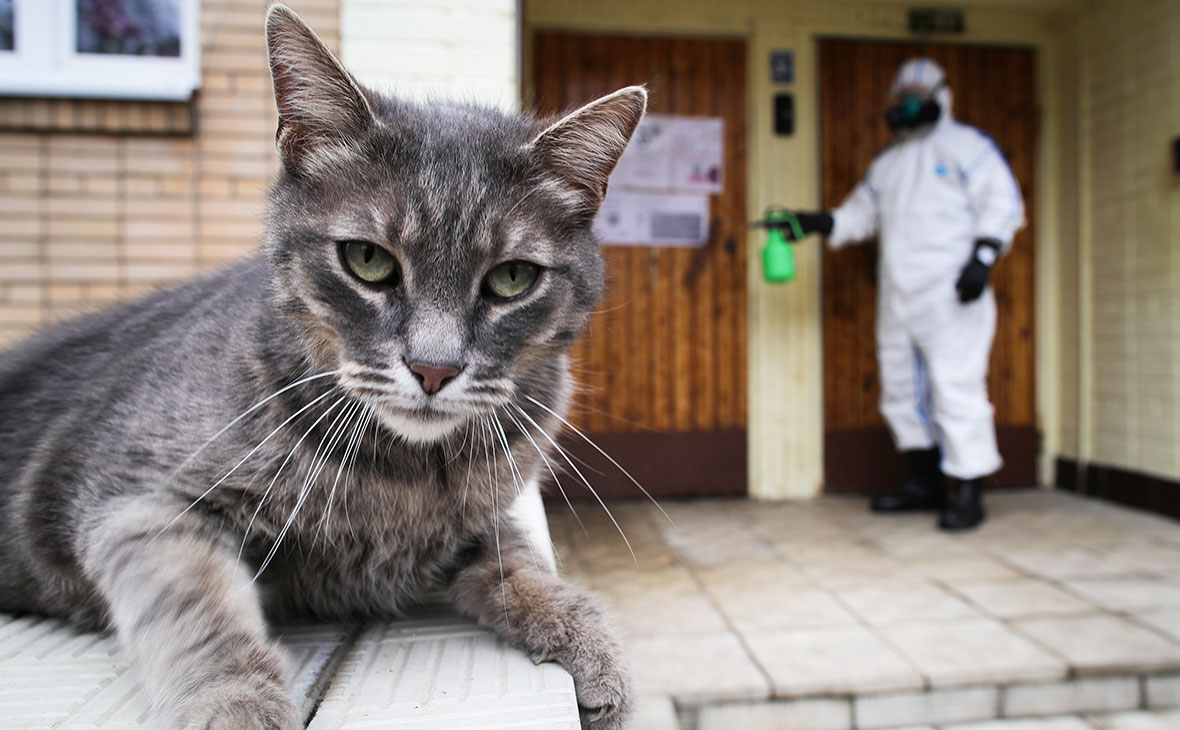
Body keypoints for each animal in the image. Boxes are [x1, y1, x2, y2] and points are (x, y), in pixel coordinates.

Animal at [0, 5, 646, 730]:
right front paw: (238, 708)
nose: (433, 368)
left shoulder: (483, 517)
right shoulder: (137, 501)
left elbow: (523, 562)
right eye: (367, 260)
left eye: (512, 279)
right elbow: (200, 614)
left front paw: (585, 638)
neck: (403, 478)